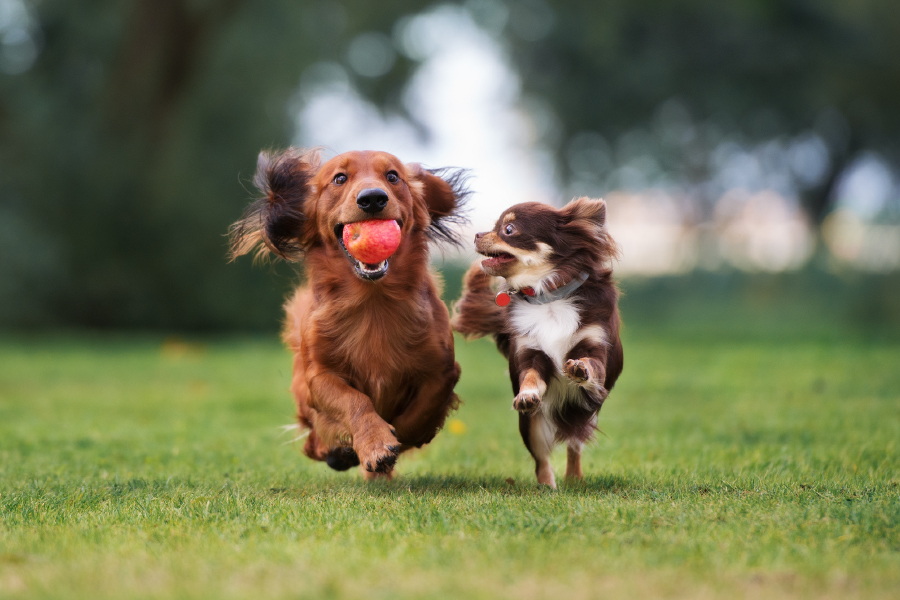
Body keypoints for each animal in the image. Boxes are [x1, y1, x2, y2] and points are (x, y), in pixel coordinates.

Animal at [230, 148, 469, 479]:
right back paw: (337, 452)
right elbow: (355, 401)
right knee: (313, 440)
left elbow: (419, 413)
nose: (372, 198)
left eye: (393, 176)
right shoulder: (319, 376)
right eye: (339, 178)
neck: (373, 302)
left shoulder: (443, 370)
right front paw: (374, 443)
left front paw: (394, 440)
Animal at [451, 198, 623, 488]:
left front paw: (579, 368)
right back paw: (547, 487)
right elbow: (531, 377)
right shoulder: (531, 353)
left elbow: (591, 364)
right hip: (531, 426)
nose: (476, 234)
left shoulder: (595, 347)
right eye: (495, 226)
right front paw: (527, 394)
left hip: (586, 413)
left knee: (574, 445)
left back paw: (574, 479)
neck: (548, 297)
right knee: (542, 460)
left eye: (508, 229)